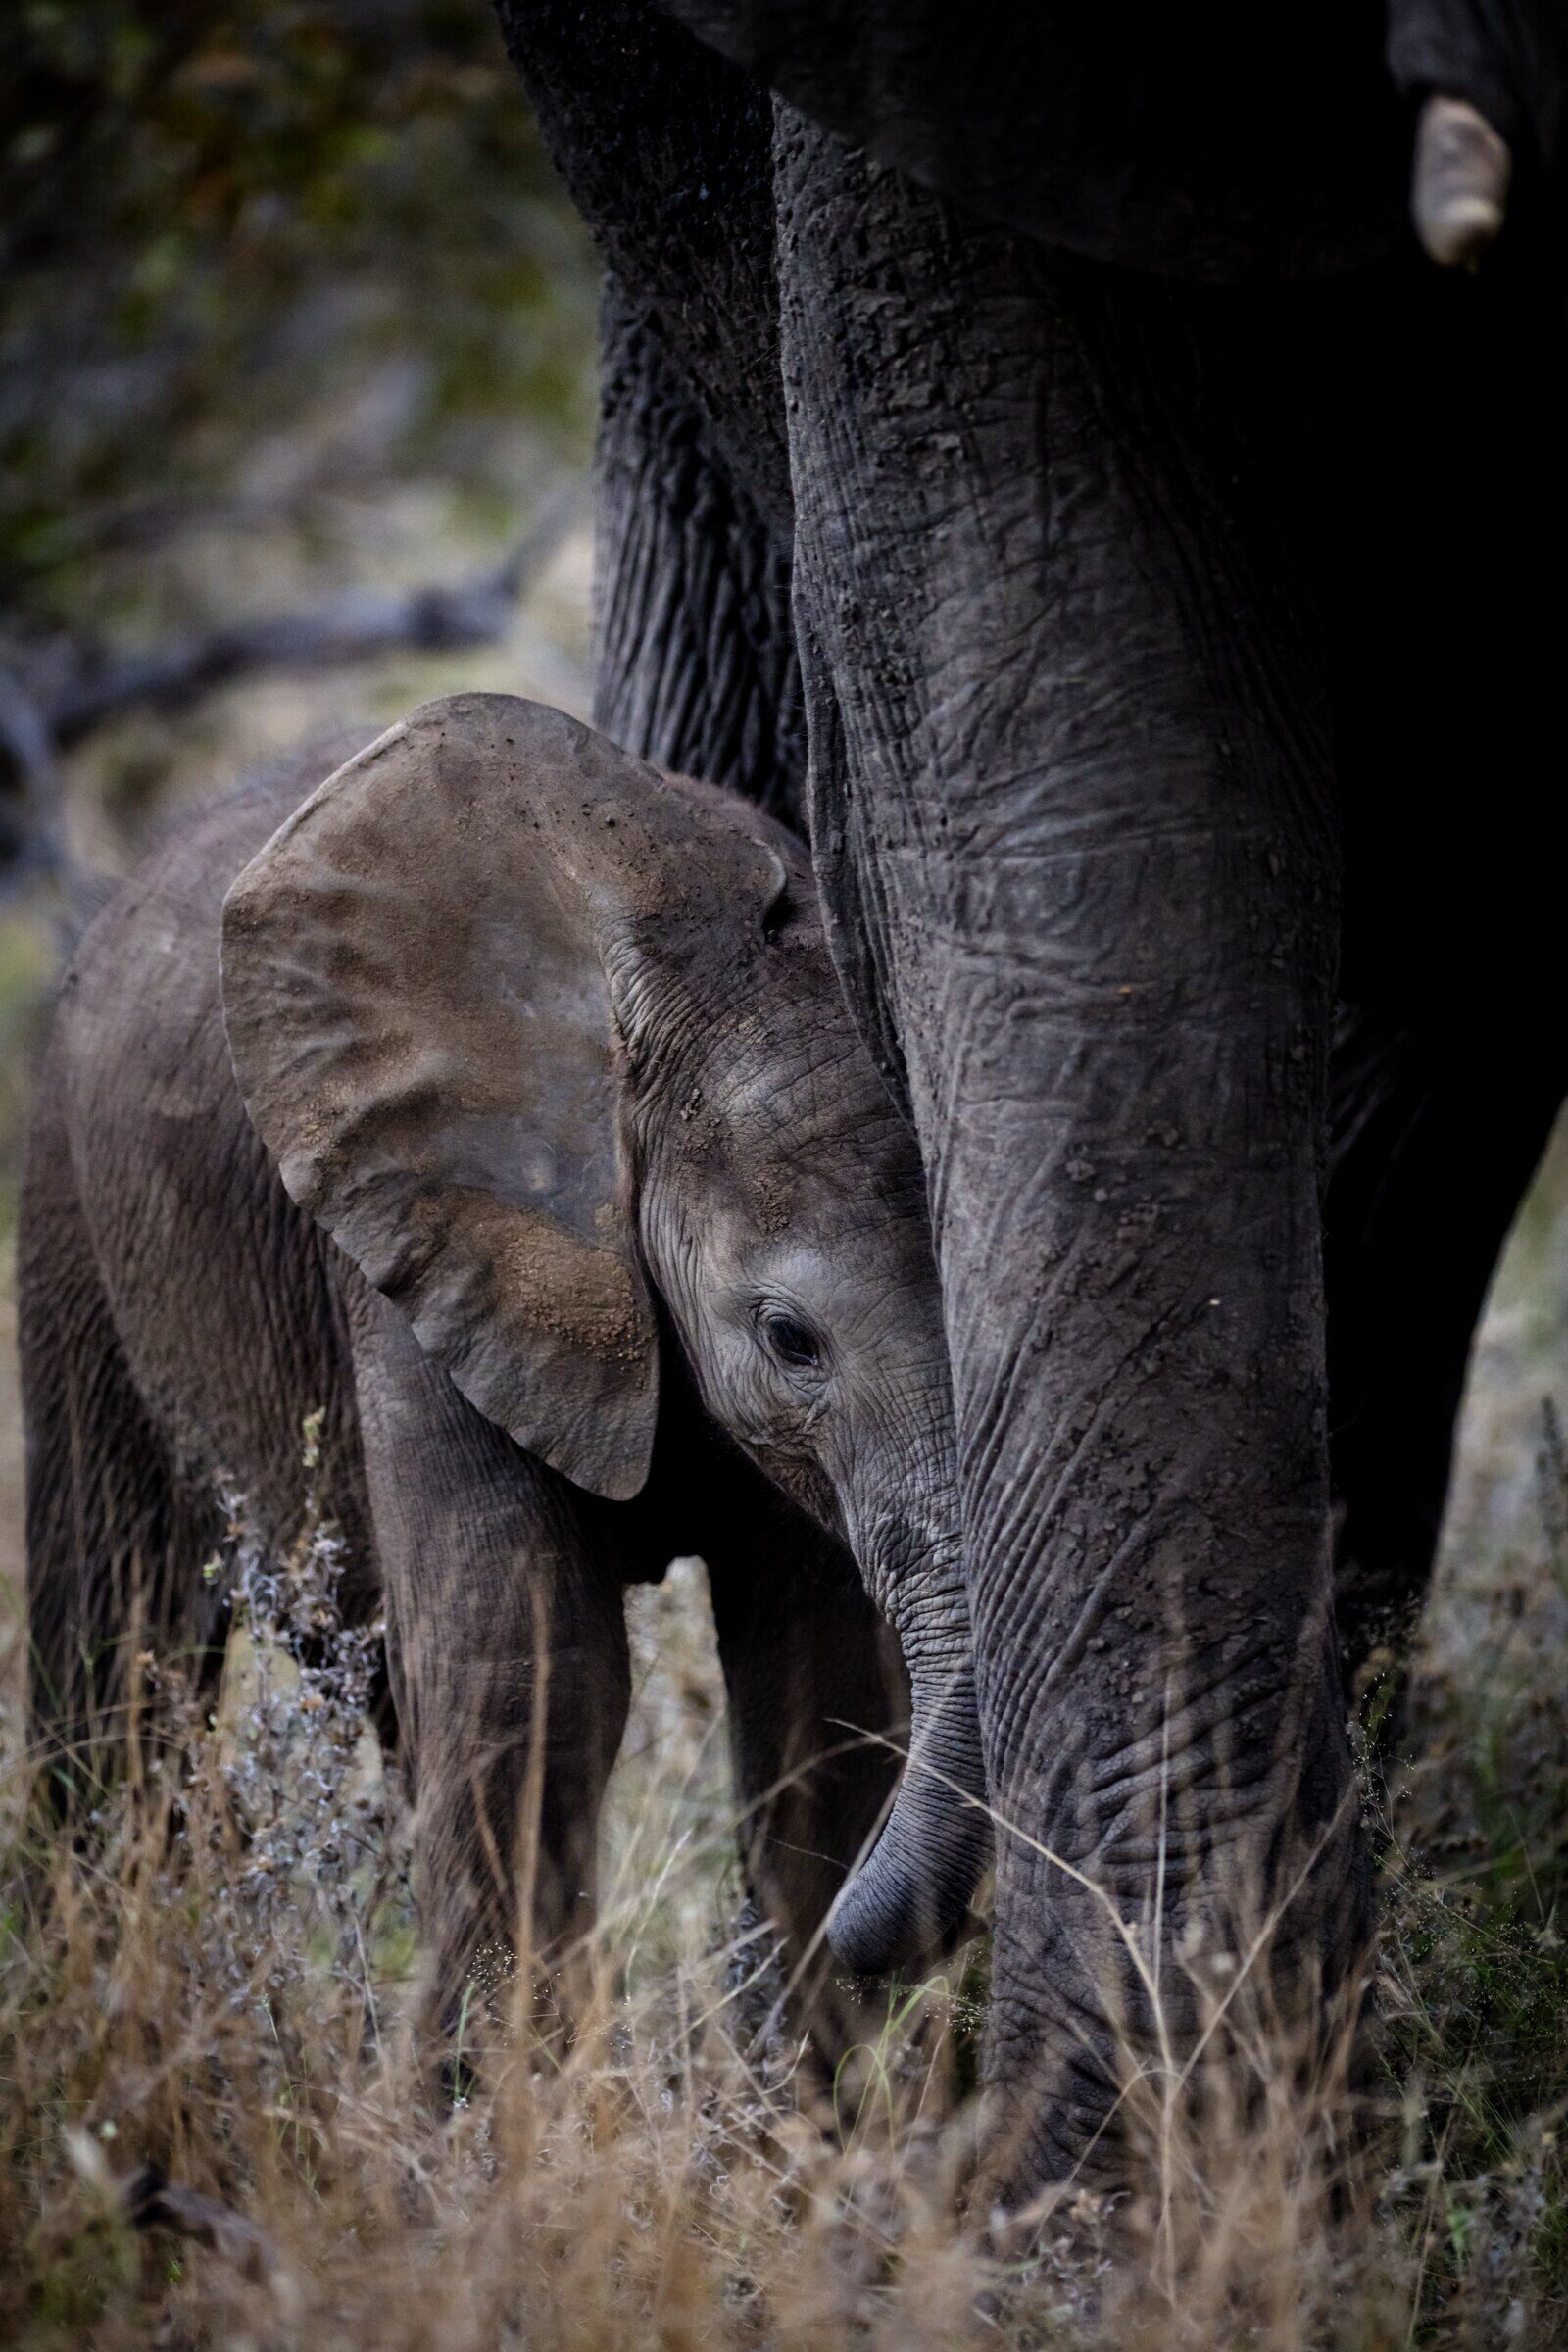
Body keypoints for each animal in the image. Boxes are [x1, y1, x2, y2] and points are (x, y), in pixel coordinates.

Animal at [20, 692, 991, 2051]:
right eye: (792, 1340)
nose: (897, 1953)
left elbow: (818, 1681)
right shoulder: (422, 1246)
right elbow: (530, 1676)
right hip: (70, 1205)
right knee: (116, 1648)